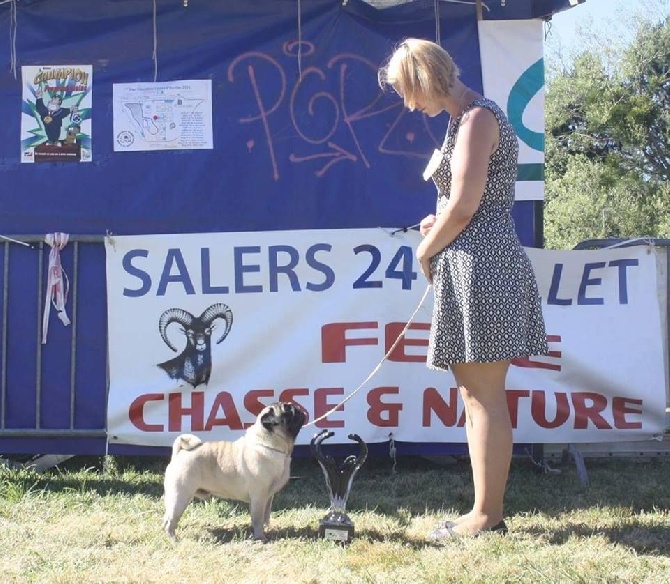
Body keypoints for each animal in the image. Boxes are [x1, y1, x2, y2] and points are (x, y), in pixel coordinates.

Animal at [164, 402, 306, 544]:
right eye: (287, 411)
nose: (297, 408)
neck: (270, 444)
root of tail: (180, 453)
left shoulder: (268, 497)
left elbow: (266, 517)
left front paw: (268, 530)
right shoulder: (259, 497)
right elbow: (258, 519)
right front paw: (260, 537)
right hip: (180, 498)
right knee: (170, 523)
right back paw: (174, 541)